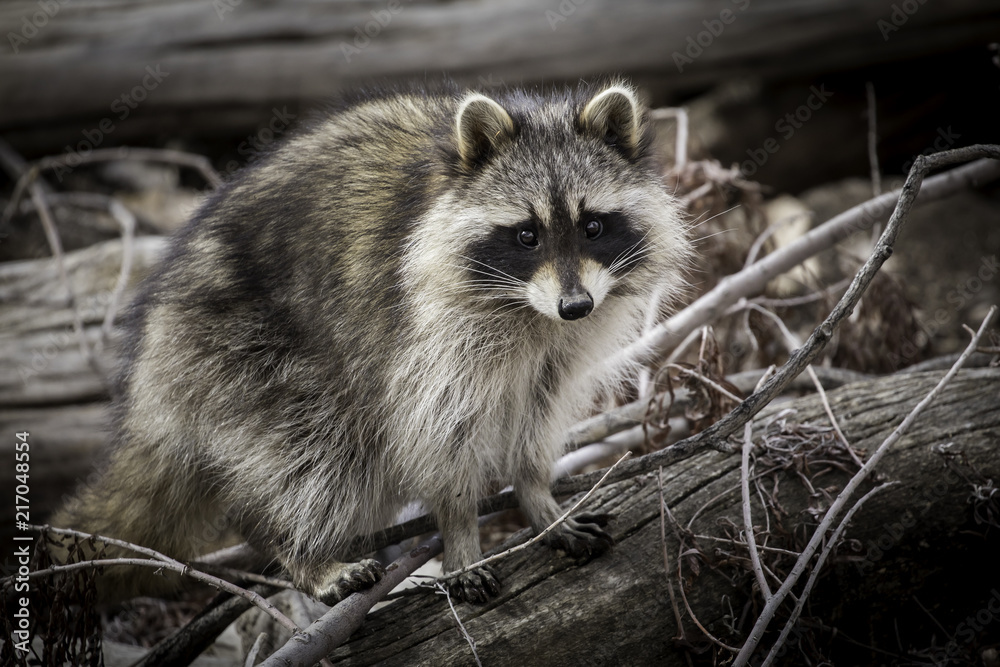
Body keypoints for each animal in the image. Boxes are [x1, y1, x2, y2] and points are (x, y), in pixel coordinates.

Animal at [53, 80, 691, 604]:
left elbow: (538, 415)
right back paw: (301, 552)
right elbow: (439, 436)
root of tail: (150, 371)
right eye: (527, 235)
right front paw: (460, 532)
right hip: (243, 356)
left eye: (593, 226)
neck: (532, 313)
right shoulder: (431, 337)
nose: (576, 305)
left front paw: (538, 498)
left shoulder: (561, 349)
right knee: (318, 455)